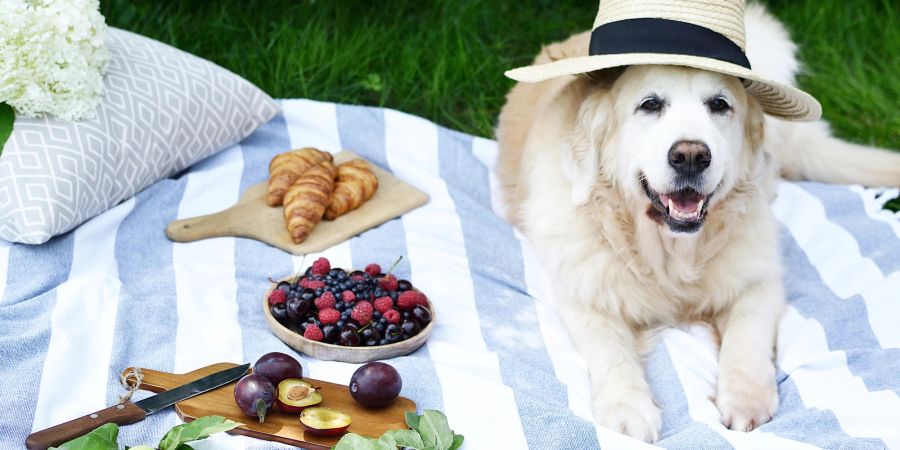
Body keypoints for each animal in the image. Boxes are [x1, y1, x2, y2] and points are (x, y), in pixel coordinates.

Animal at [492, 0, 900, 442]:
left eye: (719, 105)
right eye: (650, 105)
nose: (690, 156)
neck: (669, 253)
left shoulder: (760, 278)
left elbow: (747, 332)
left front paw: (745, 399)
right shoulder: (582, 289)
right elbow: (609, 346)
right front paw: (628, 407)